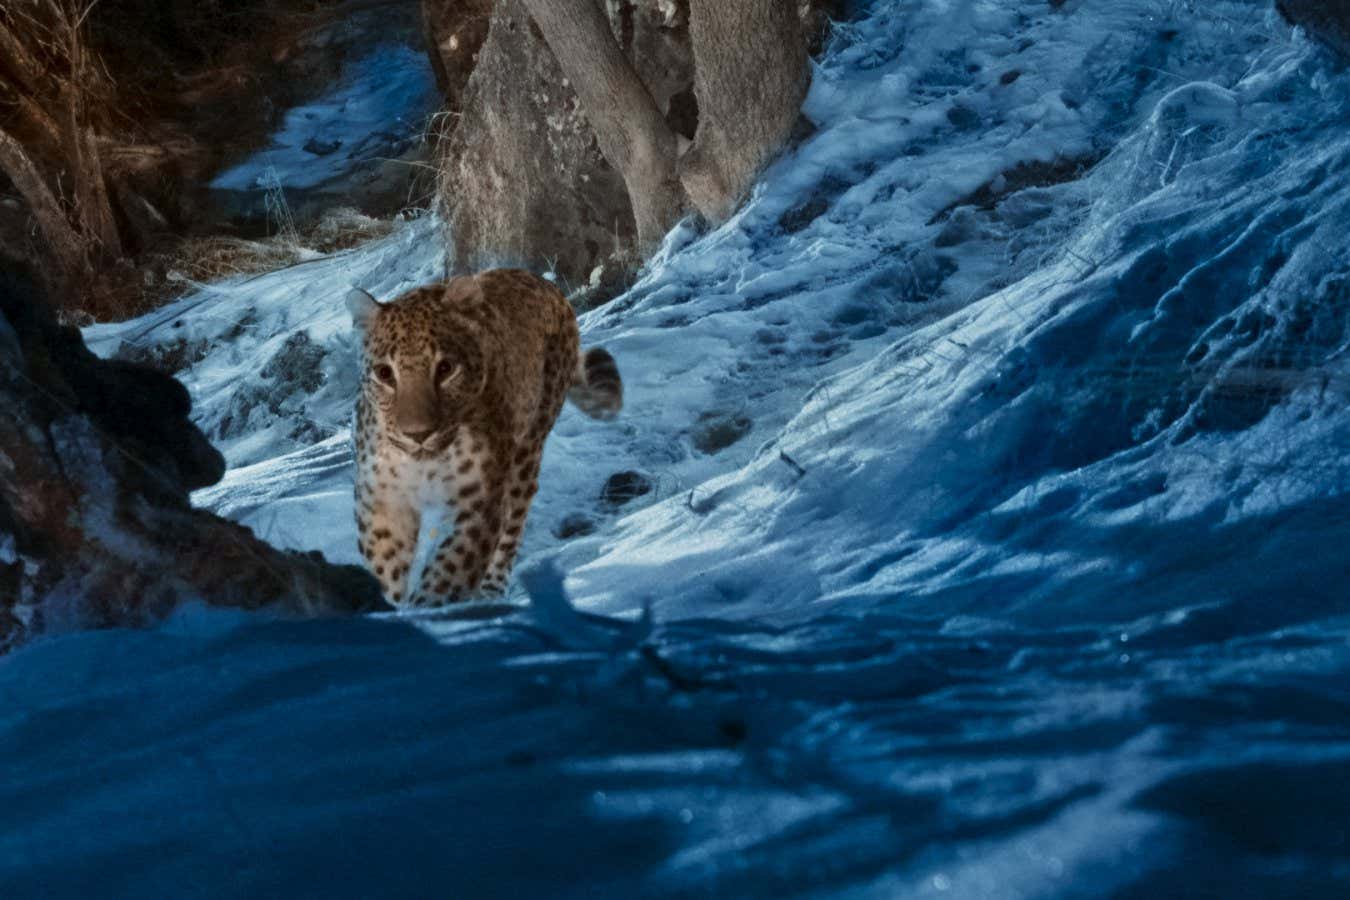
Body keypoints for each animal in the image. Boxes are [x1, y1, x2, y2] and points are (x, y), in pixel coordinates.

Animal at [346, 268, 621, 607]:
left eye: (445, 368)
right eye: (385, 374)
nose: (418, 433)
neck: (423, 465)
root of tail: (548, 285)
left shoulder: (479, 501)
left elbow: (446, 573)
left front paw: (427, 609)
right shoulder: (383, 501)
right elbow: (386, 570)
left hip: (527, 452)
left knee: (515, 519)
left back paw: (492, 589)